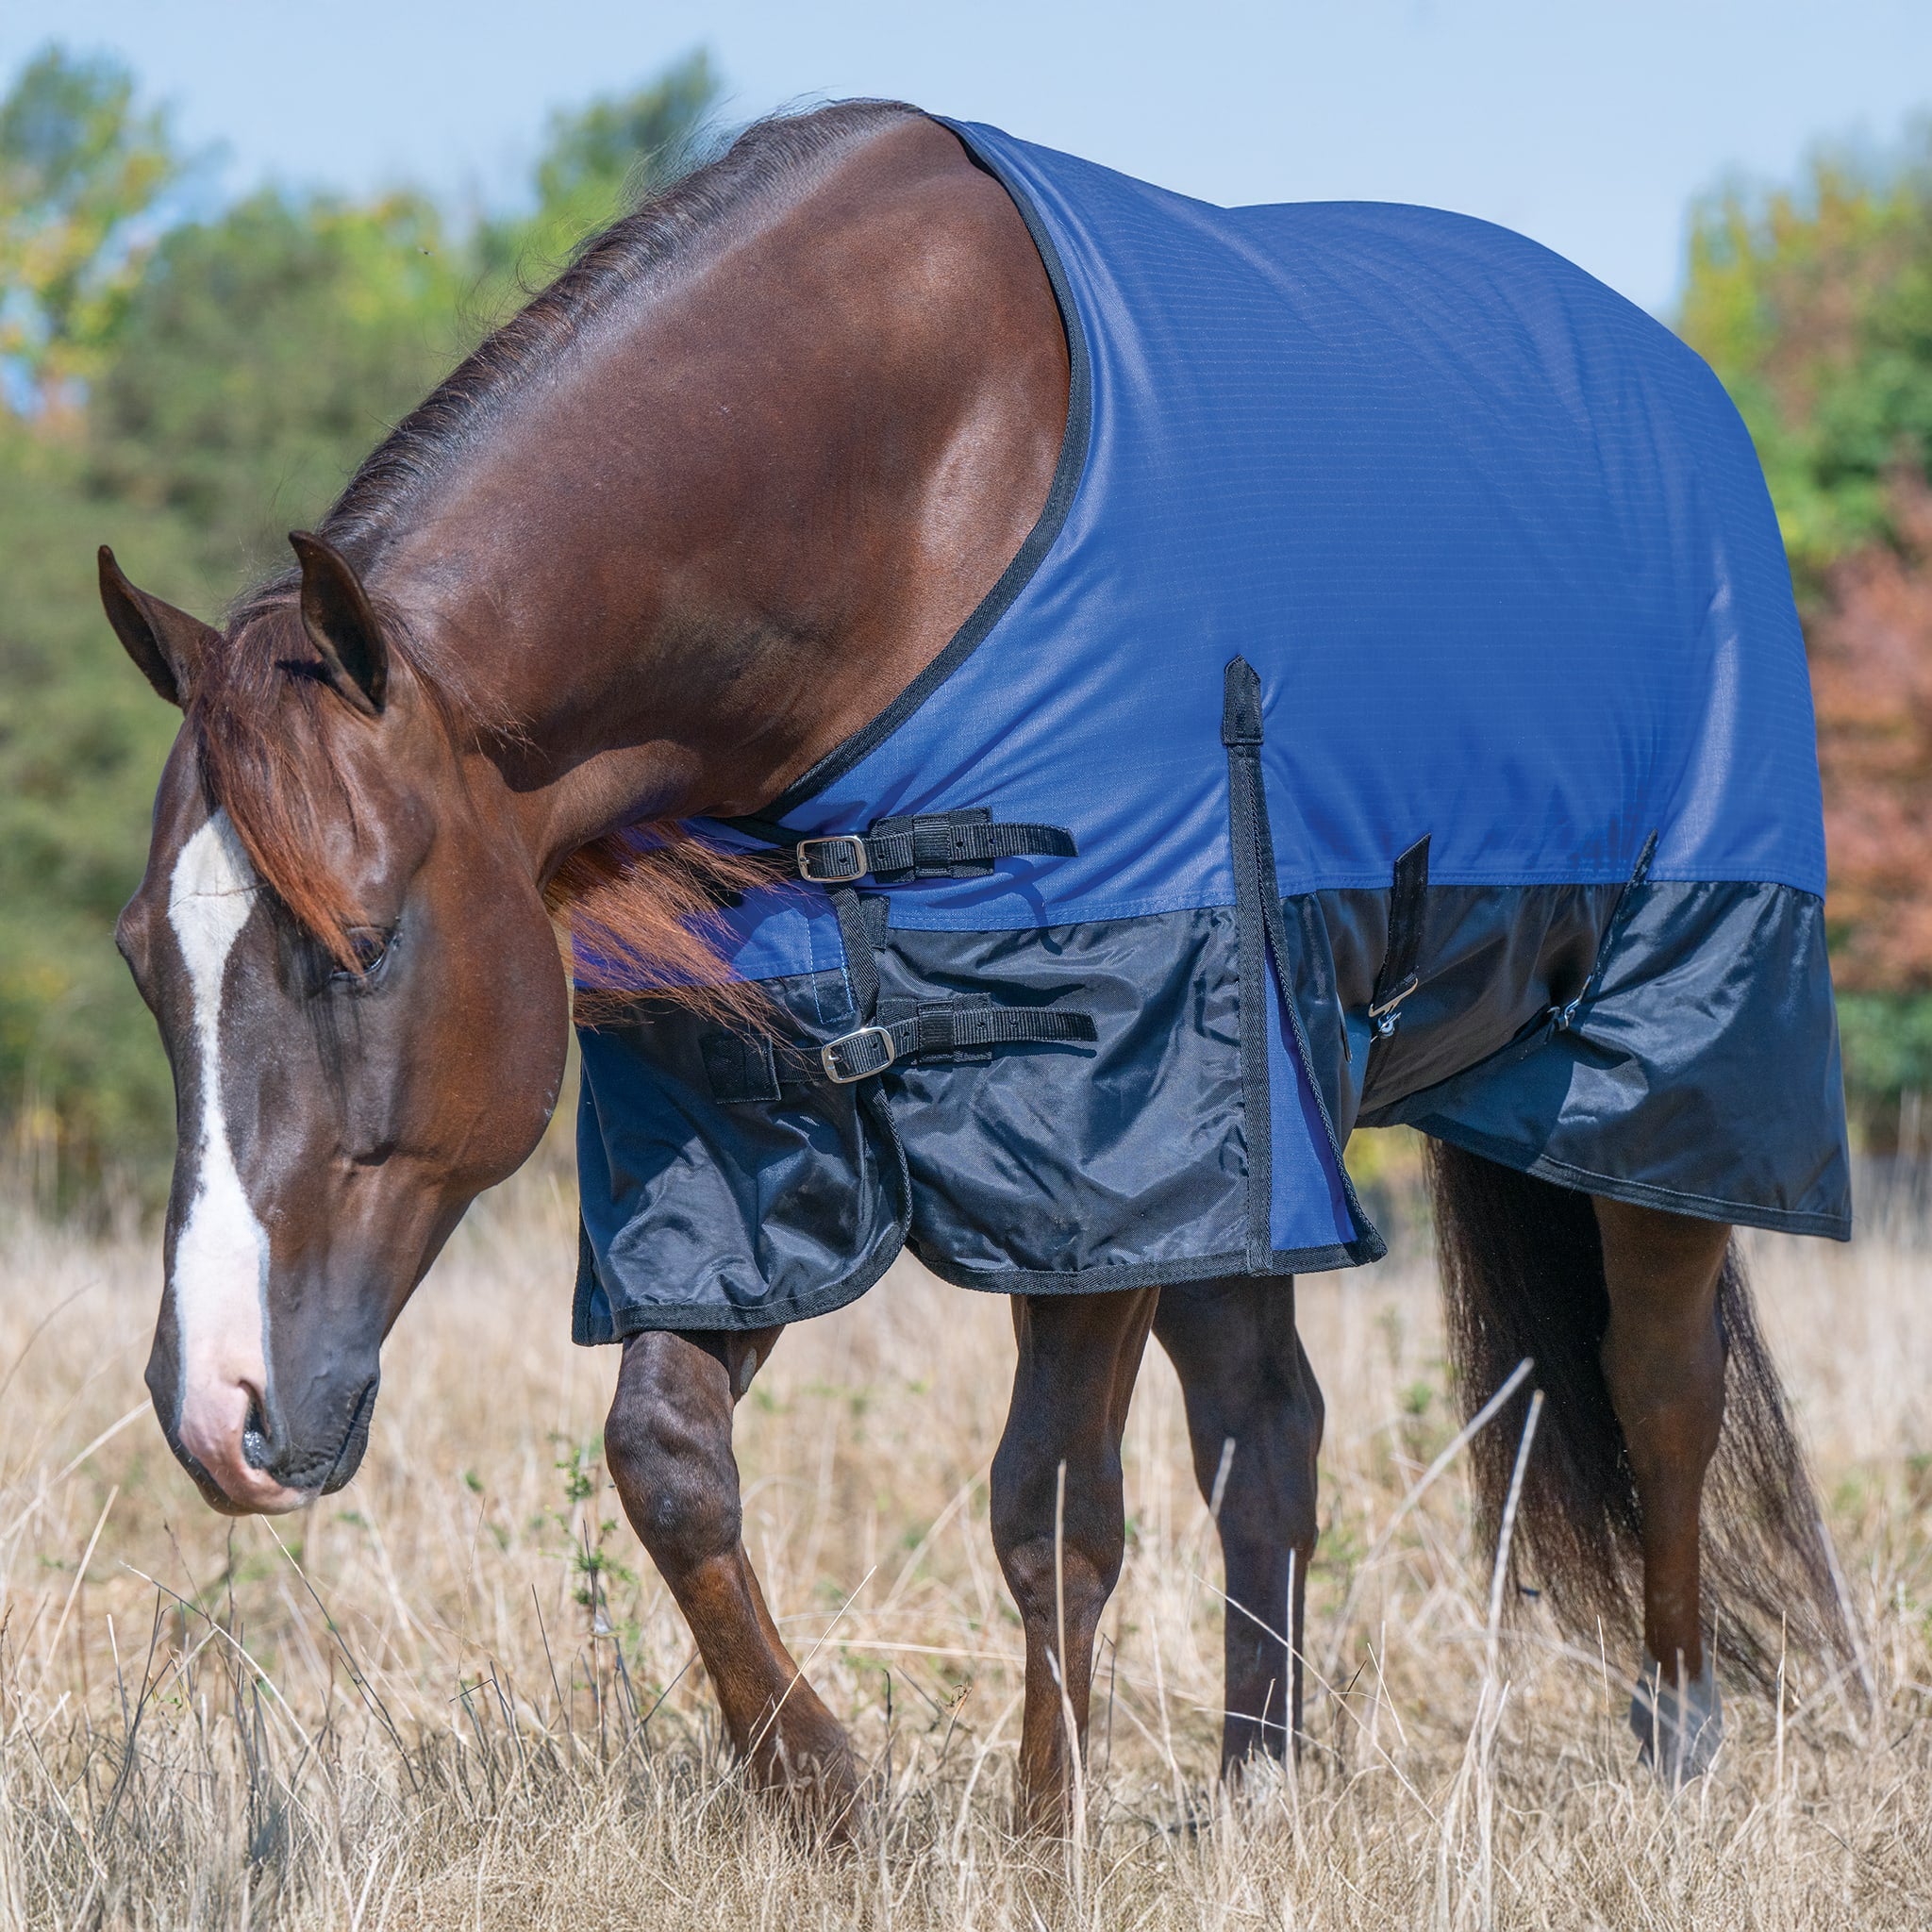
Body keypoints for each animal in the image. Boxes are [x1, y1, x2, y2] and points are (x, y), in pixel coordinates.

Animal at [100, 101, 1850, 1830]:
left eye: (364, 941)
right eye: (142, 963)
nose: (217, 1409)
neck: (905, 495)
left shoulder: (1099, 1126)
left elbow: (1049, 1504)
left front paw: (1041, 1832)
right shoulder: (761, 1140)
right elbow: (667, 1456)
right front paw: (823, 1792)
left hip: (1657, 1058)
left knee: (1659, 1384)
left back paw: (1676, 1736)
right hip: (1254, 1136)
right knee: (1268, 1428)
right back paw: (1256, 1785)